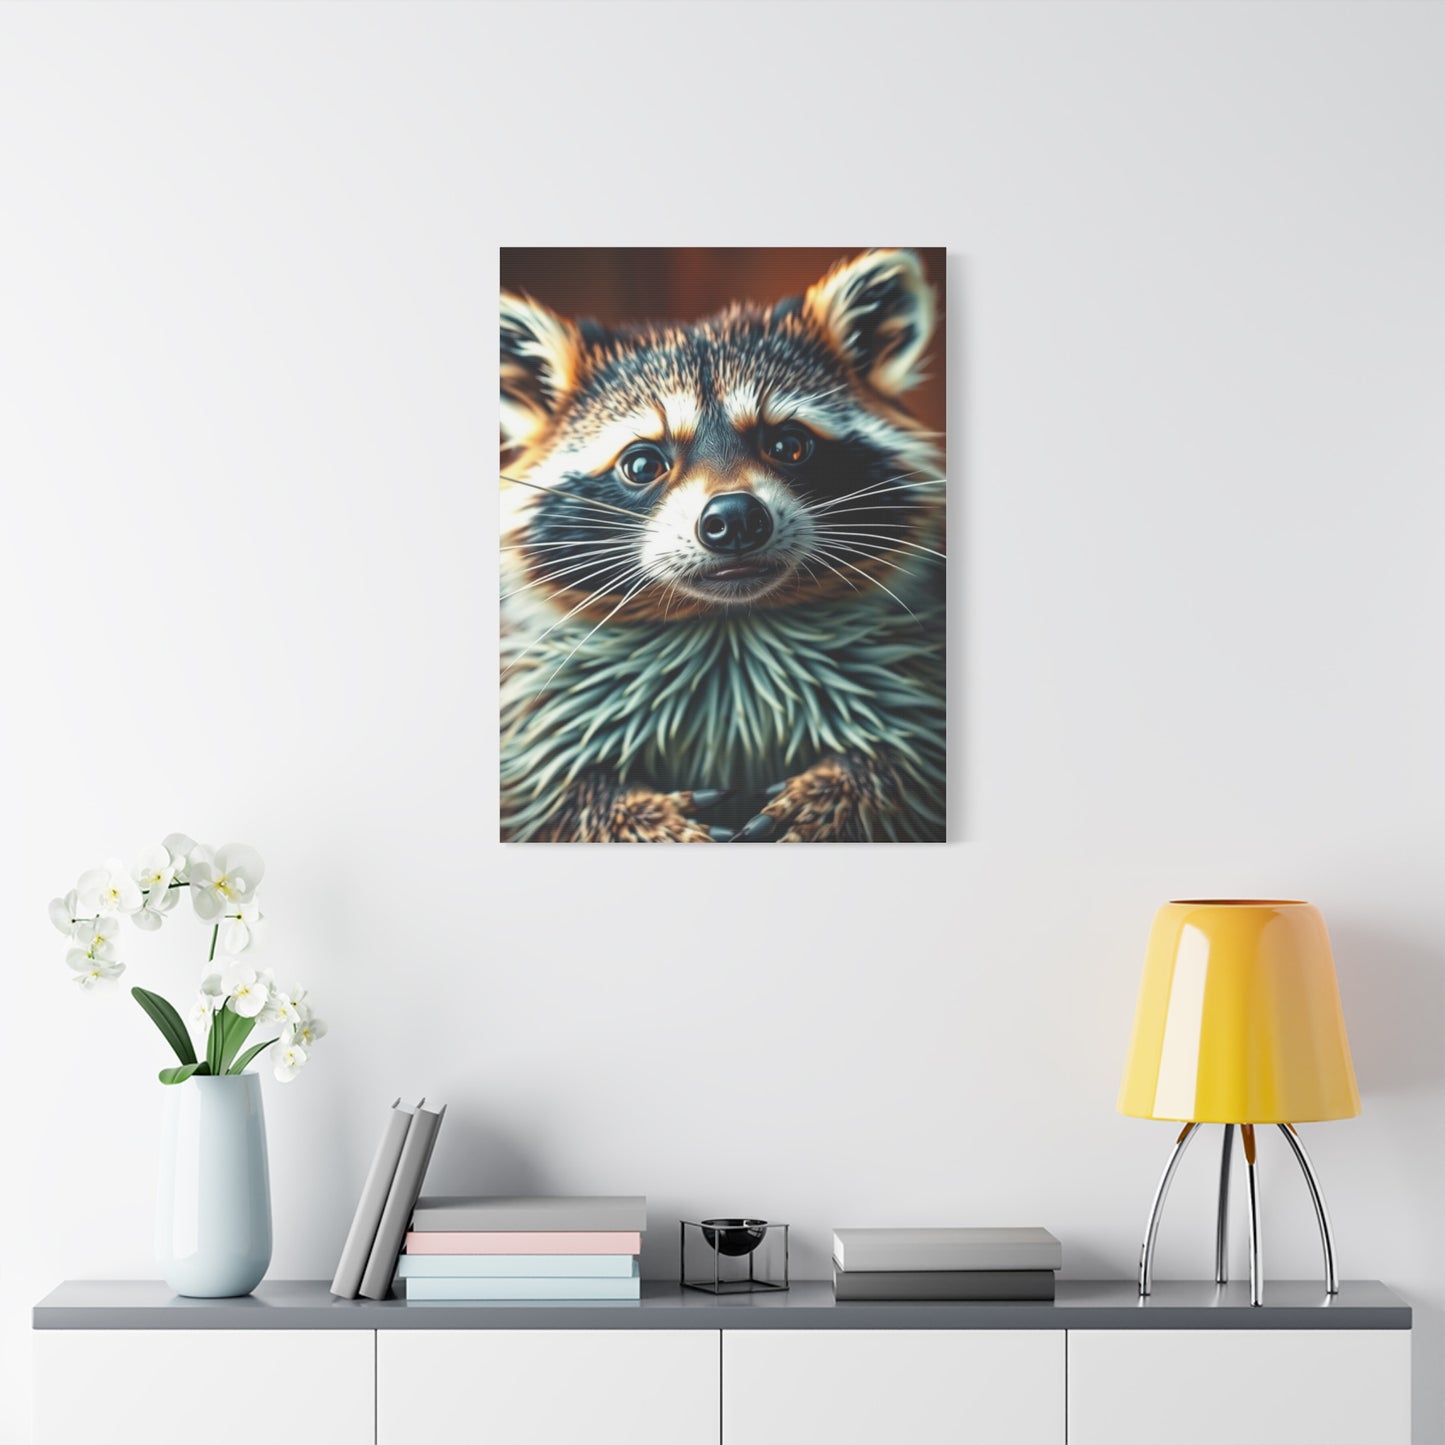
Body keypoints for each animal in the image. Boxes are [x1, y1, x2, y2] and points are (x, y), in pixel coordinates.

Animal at [500, 249, 946, 842]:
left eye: (789, 444)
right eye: (642, 464)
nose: (734, 519)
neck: (727, 624)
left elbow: (907, 762)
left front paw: (845, 788)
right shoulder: (536, 705)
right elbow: (552, 793)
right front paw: (629, 813)